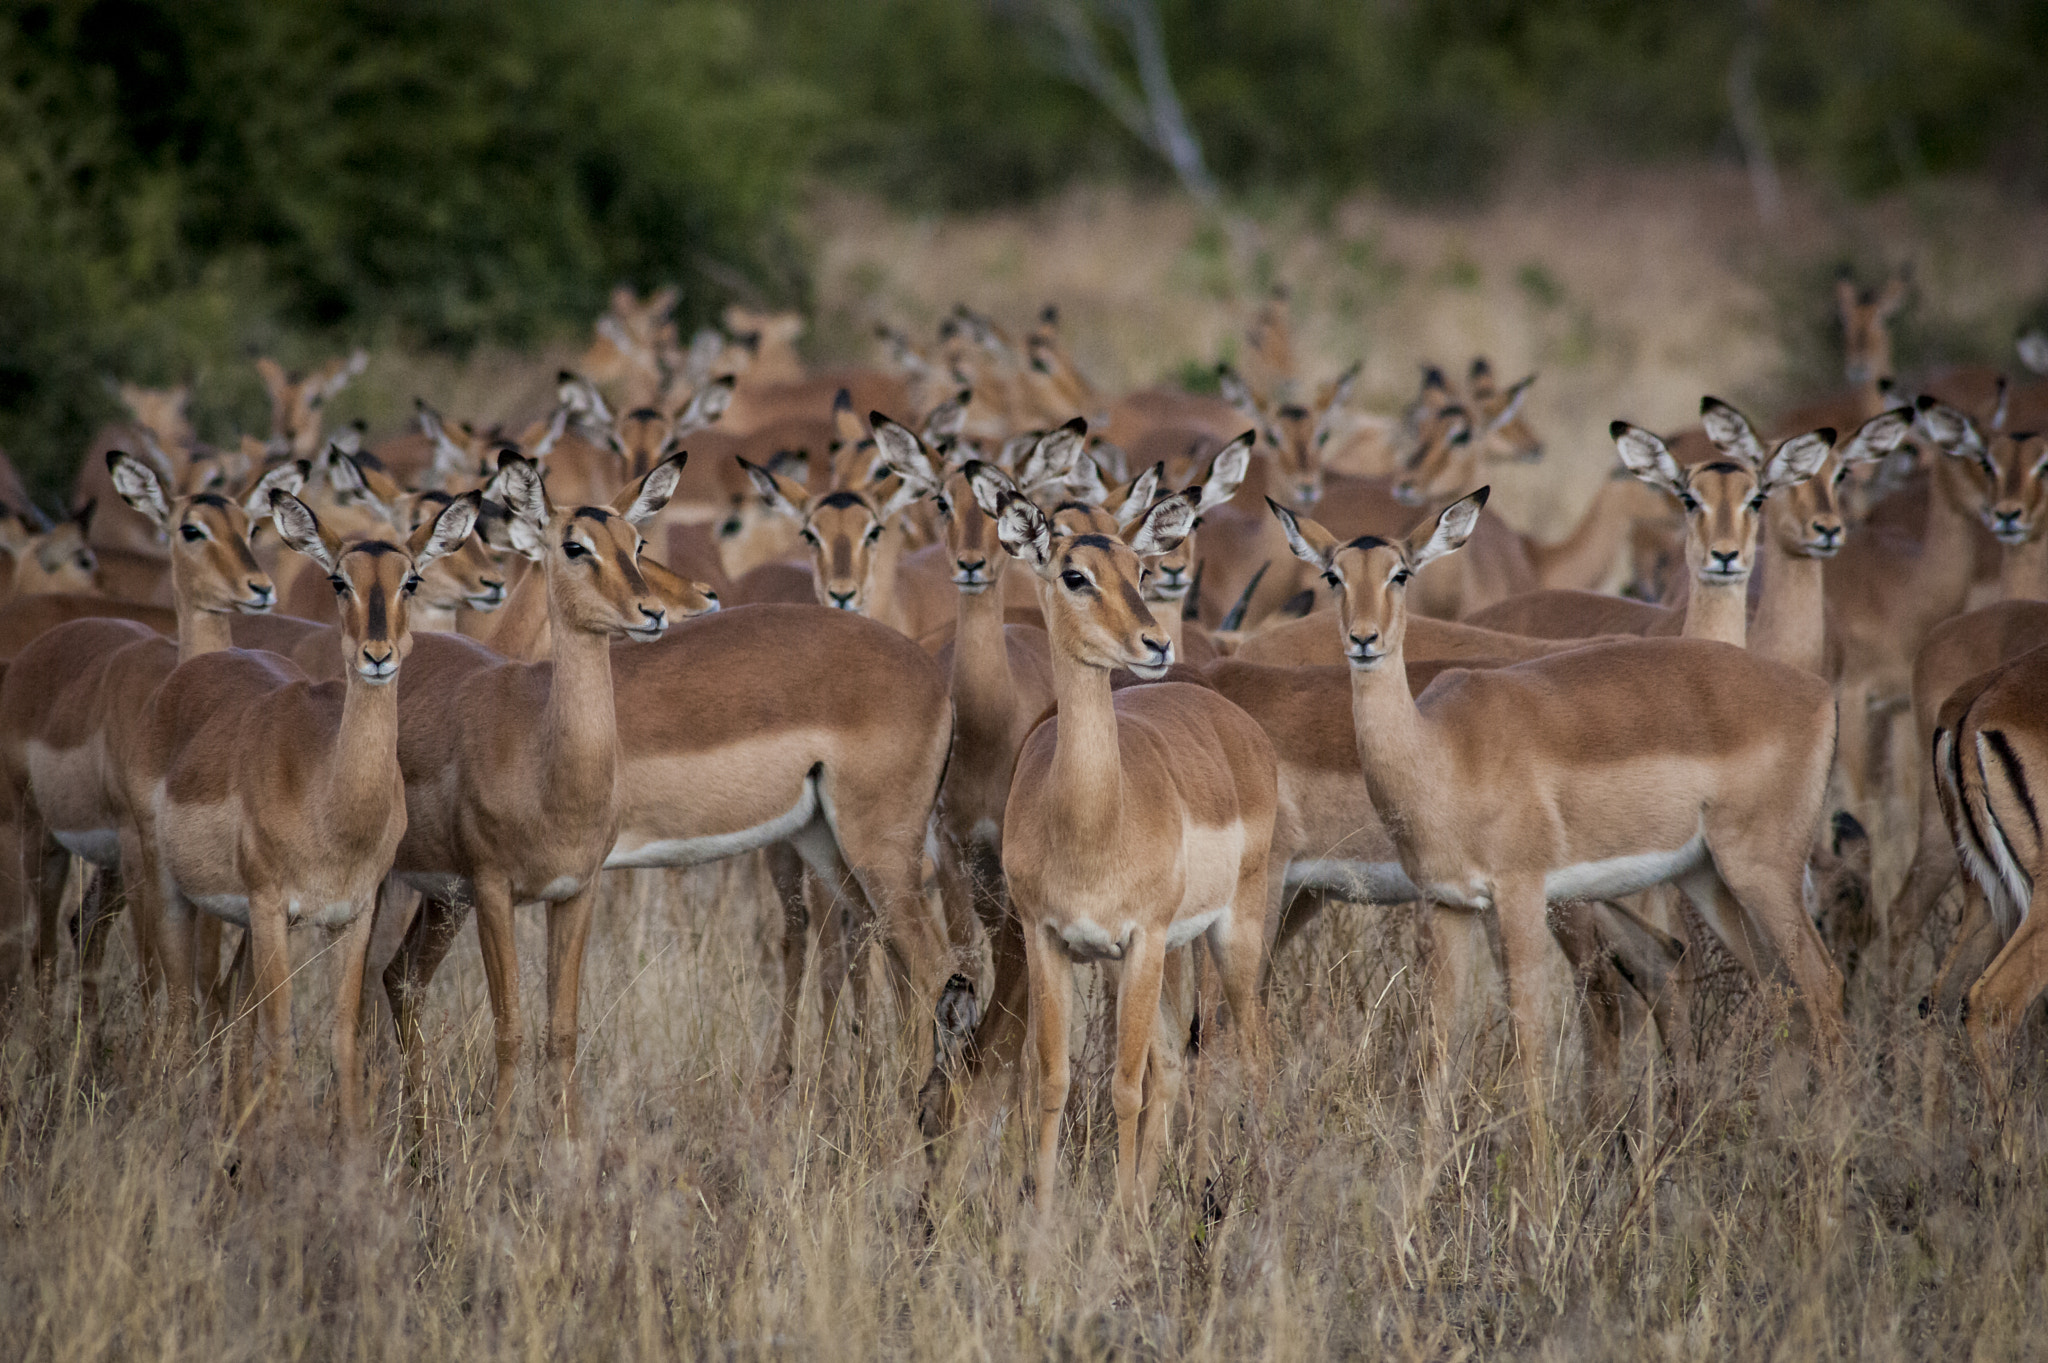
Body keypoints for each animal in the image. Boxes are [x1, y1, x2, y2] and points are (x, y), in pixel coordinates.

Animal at [1269, 489, 1851, 1137]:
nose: (1364, 639)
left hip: (1761, 872)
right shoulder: (1448, 905)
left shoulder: (1521, 895)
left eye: (1401, 573)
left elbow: (1530, 1039)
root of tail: (1818, 693)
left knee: (1822, 983)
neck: (1442, 749)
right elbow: (1437, 1046)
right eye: (1334, 574)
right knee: (1781, 988)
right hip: (1710, 878)